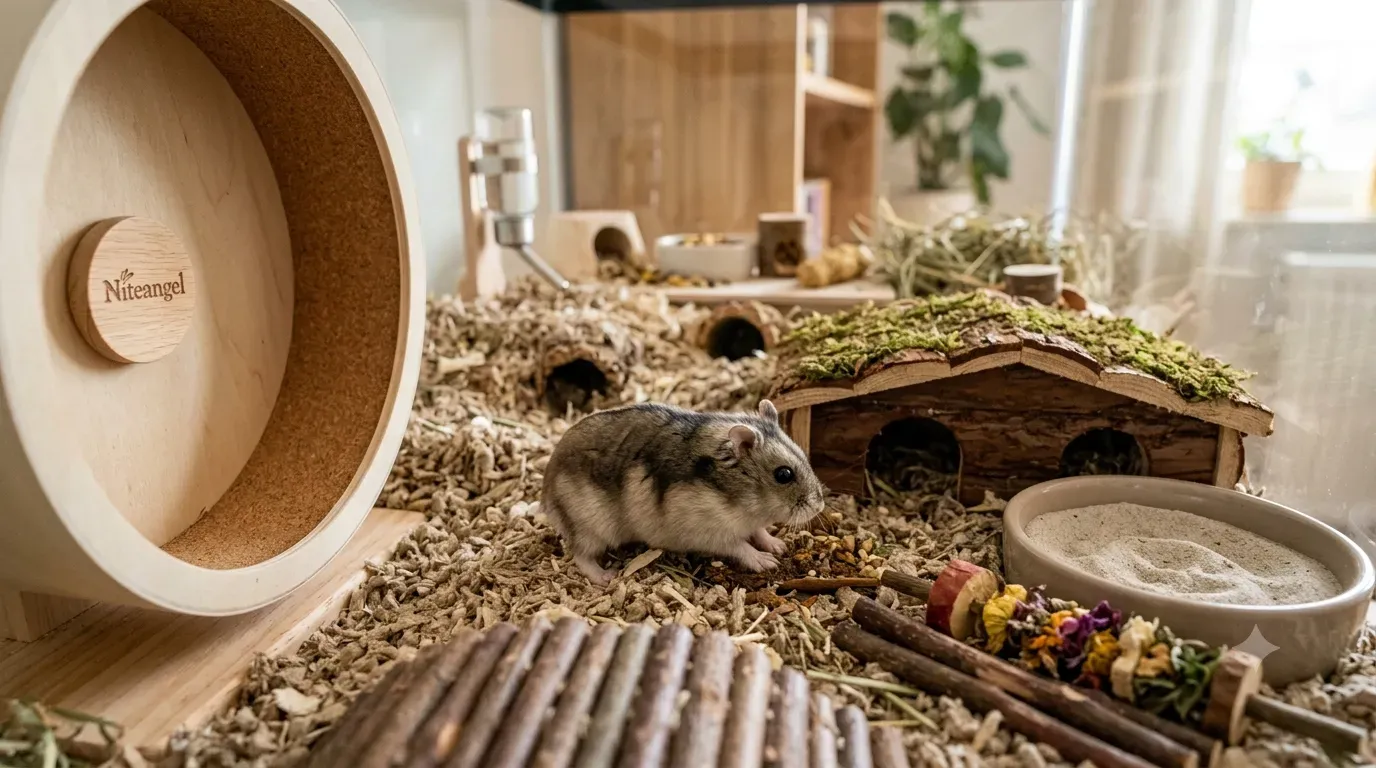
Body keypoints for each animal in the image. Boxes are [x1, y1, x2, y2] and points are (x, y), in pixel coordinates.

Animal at [541, 399, 826, 585]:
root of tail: (546, 497)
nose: (819, 506)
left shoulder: (749, 522)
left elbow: (758, 532)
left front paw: (778, 546)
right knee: (580, 554)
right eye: (784, 475)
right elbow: (740, 546)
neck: (745, 501)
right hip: (592, 527)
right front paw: (768, 561)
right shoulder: (709, 532)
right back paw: (605, 577)